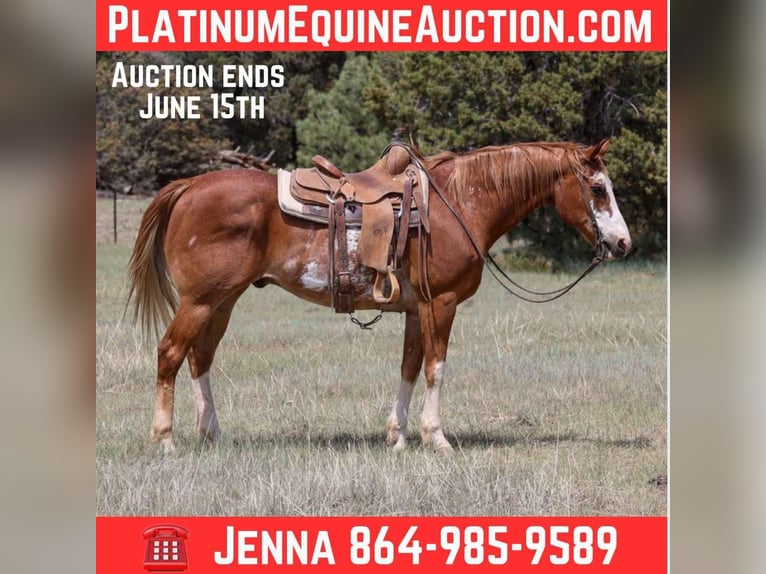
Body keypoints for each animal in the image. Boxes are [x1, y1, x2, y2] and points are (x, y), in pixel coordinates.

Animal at [127, 139, 631, 454]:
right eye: (598, 189)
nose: (623, 243)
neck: (459, 203)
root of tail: (189, 186)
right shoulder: (441, 303)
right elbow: (435, 367)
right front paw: (436, 437)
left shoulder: (415, 308)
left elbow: (409, 366)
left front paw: (398, 436)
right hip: (199, 301)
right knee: (171, 353)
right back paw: (165, 439)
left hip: (222, 301)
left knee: (201, 358)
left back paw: (211, 434)